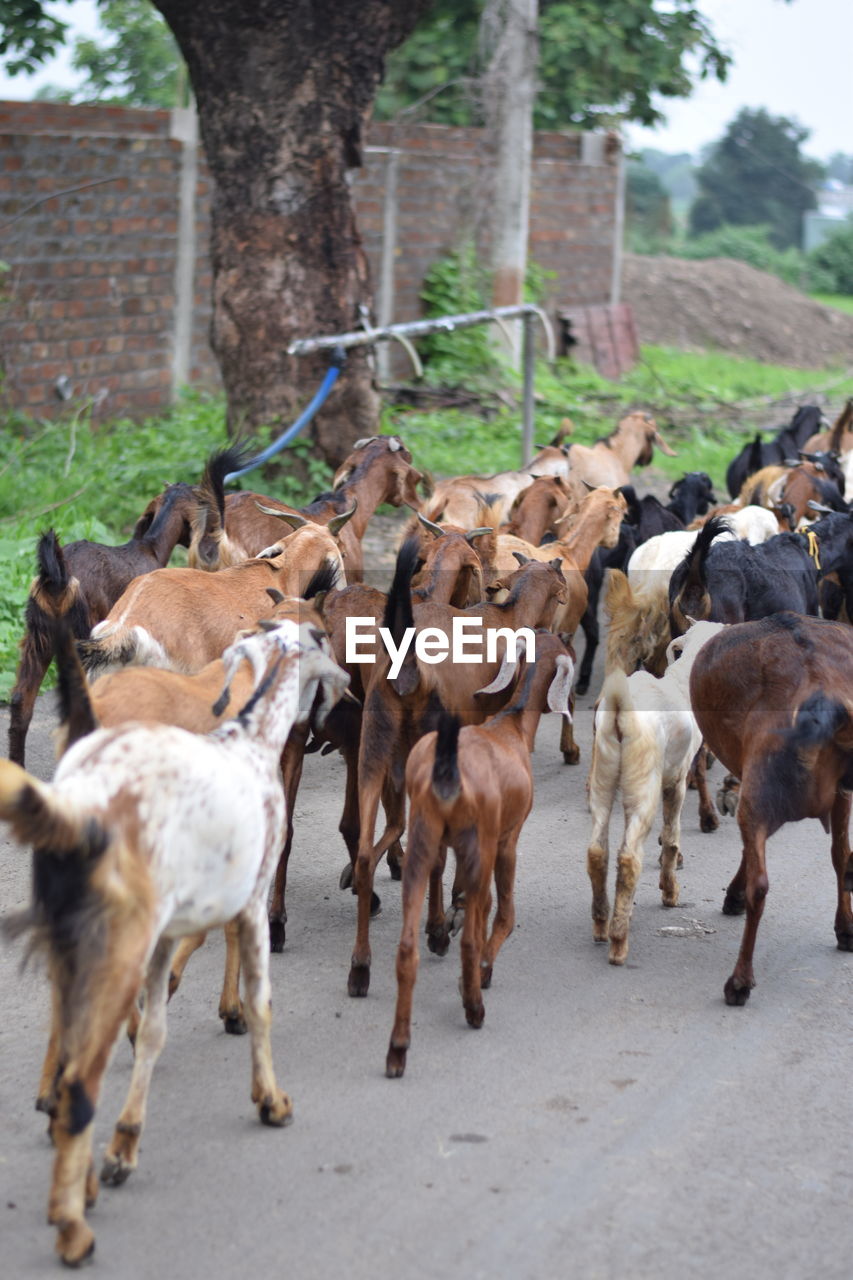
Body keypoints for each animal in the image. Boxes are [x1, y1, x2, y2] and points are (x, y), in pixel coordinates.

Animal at [384, 634, 571, 1075]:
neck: (511, 723)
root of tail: (447, 770)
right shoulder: (507, 841)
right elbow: (504, 914)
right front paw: (484, 970)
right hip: (479, 846)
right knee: (471, 937)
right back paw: (473, 1006)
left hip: (423, 838)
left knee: (407, 948)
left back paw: (398, 1049)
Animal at [584, 624, 722, 962]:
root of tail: (621, 708)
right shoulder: (677, 779)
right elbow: (671, 837)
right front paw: (670, 891)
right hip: (643, 781)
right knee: (629, 857)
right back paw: (618, 940)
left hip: (603, 773)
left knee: (597, 851)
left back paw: (601, 923)